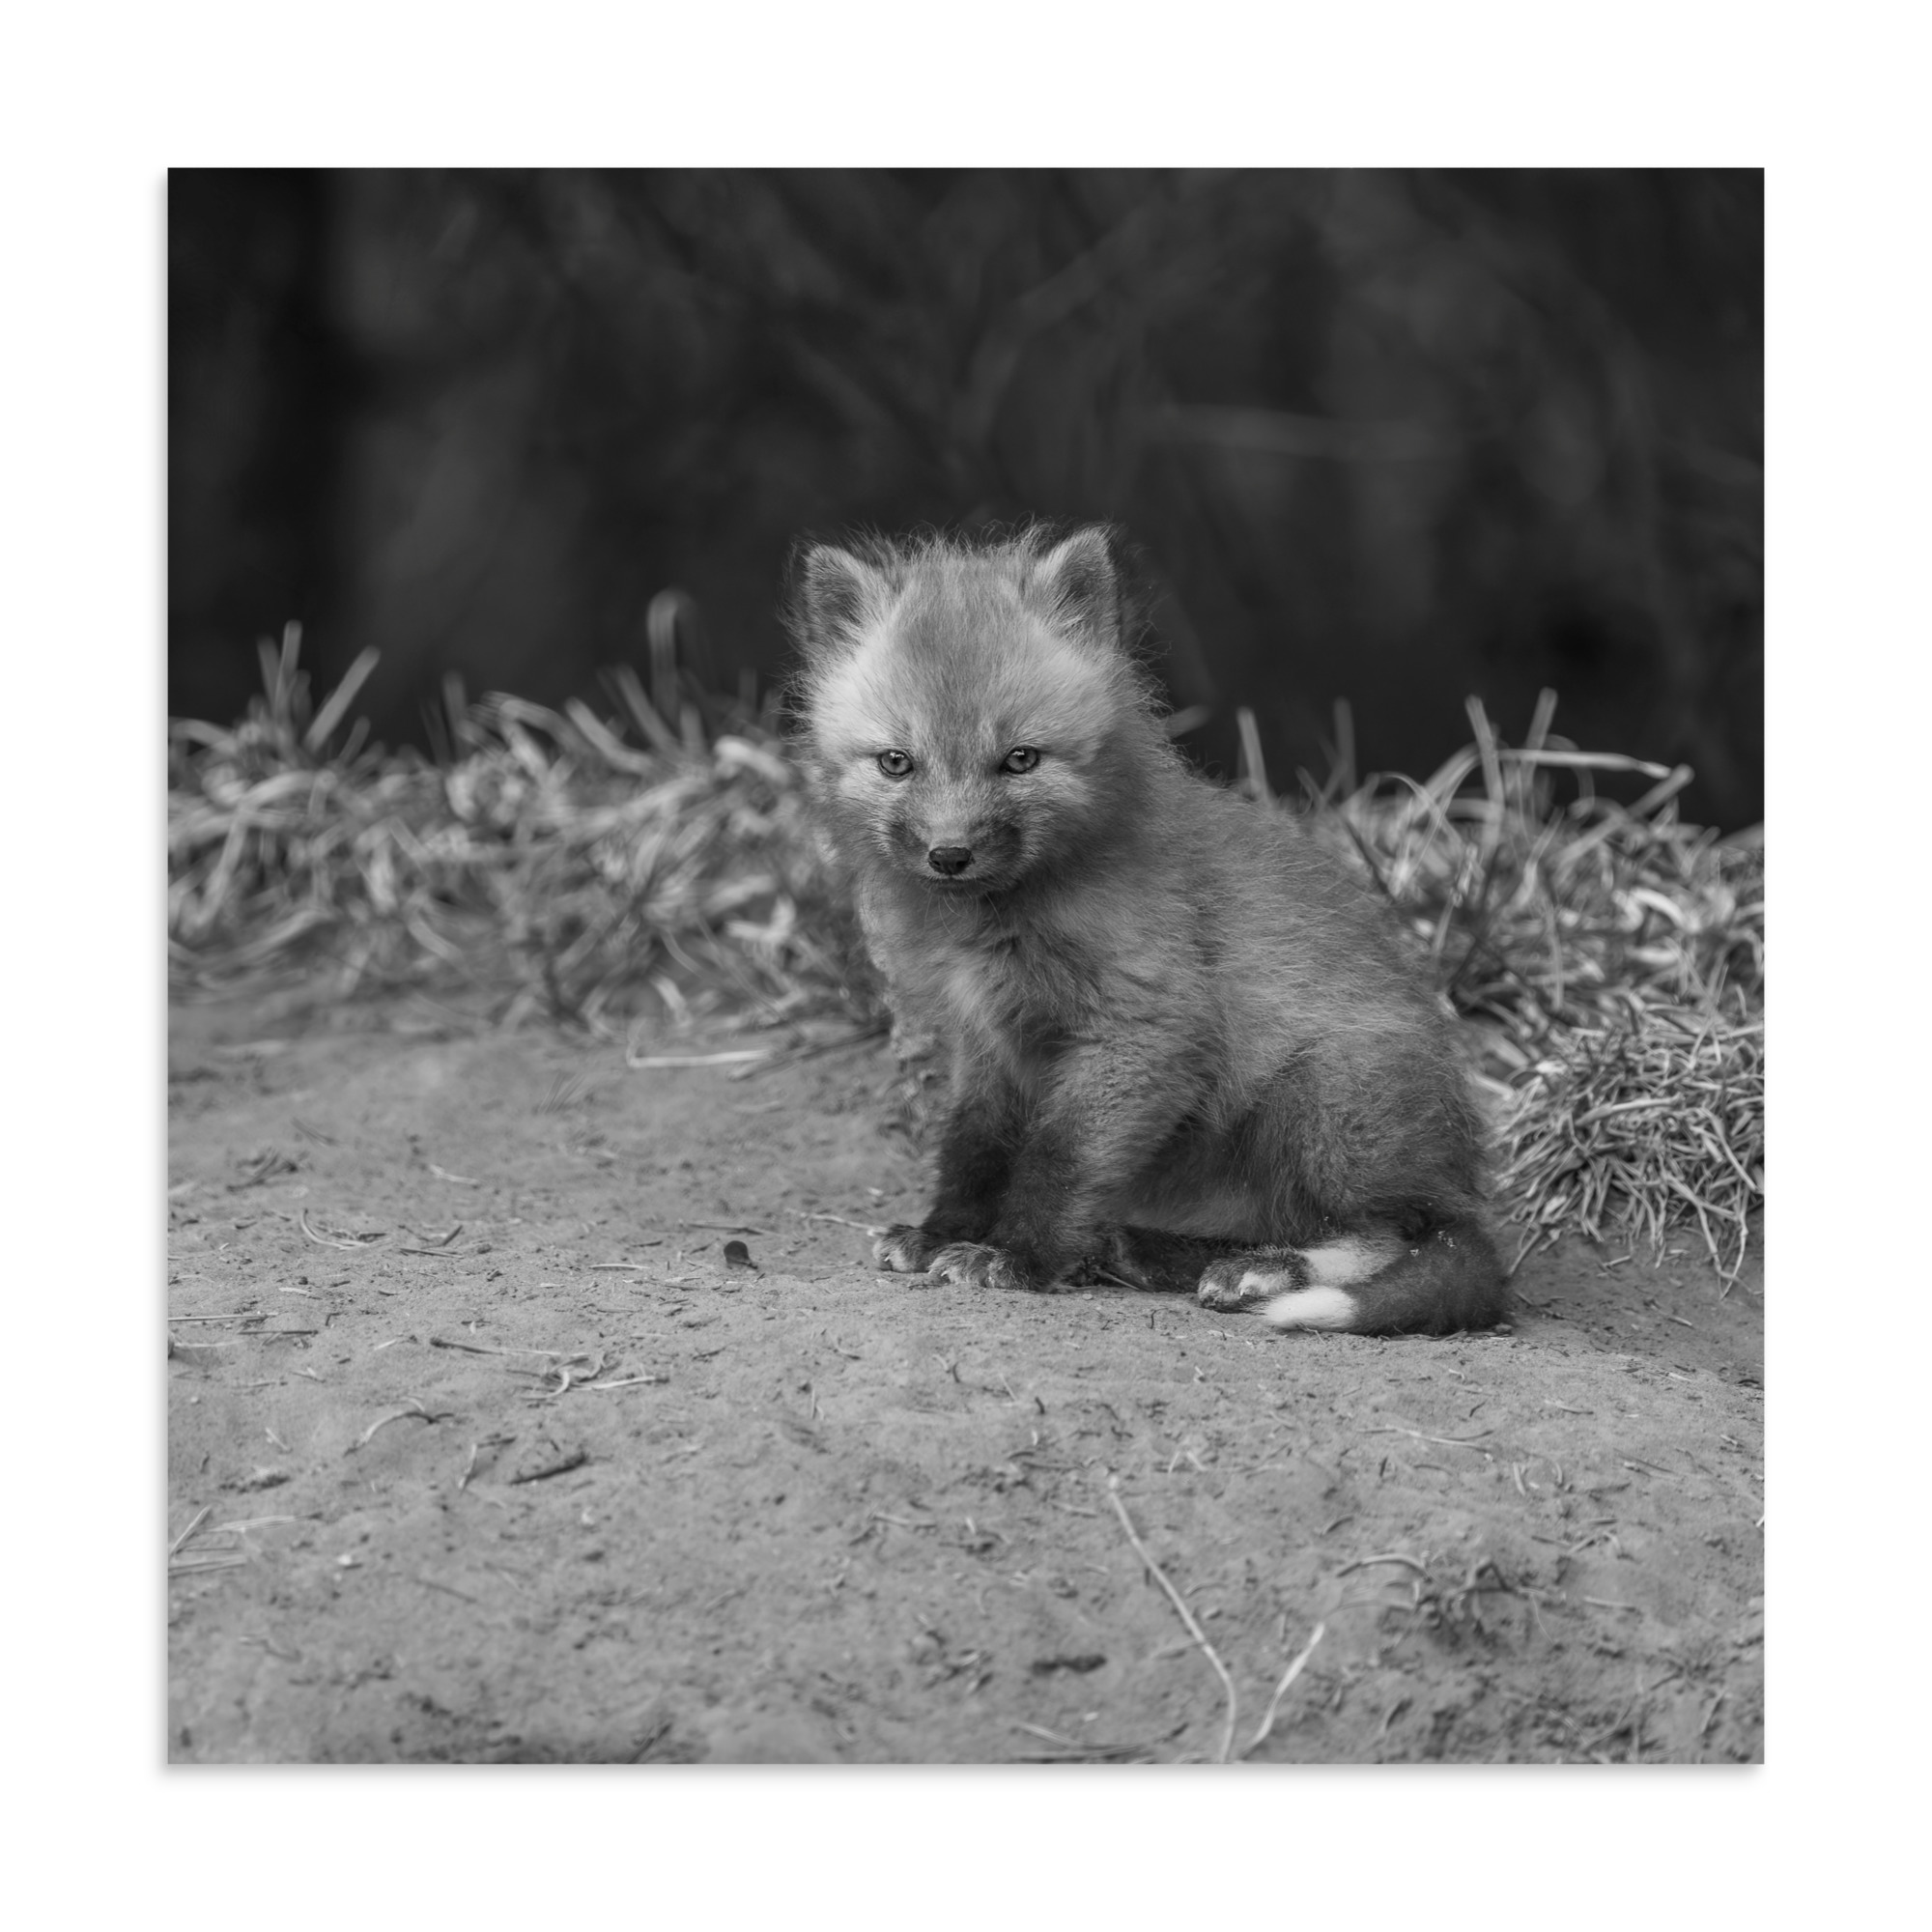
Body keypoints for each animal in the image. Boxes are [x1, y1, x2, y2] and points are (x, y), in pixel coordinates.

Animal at [785, 523, 1509, 1336]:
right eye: (896, 763)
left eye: (1020, 760)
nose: (950, 854)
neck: (1000, 924)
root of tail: (1460, 1177)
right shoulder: (988, 1043)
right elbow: (974, 1149)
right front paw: (943, 1233)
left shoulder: (1144, 1029)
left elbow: (1060, 1158)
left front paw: (1018, 1258)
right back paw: (1149, 1251)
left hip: (1320, 1102)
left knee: (1396, 1235)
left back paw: (1262, 1272)